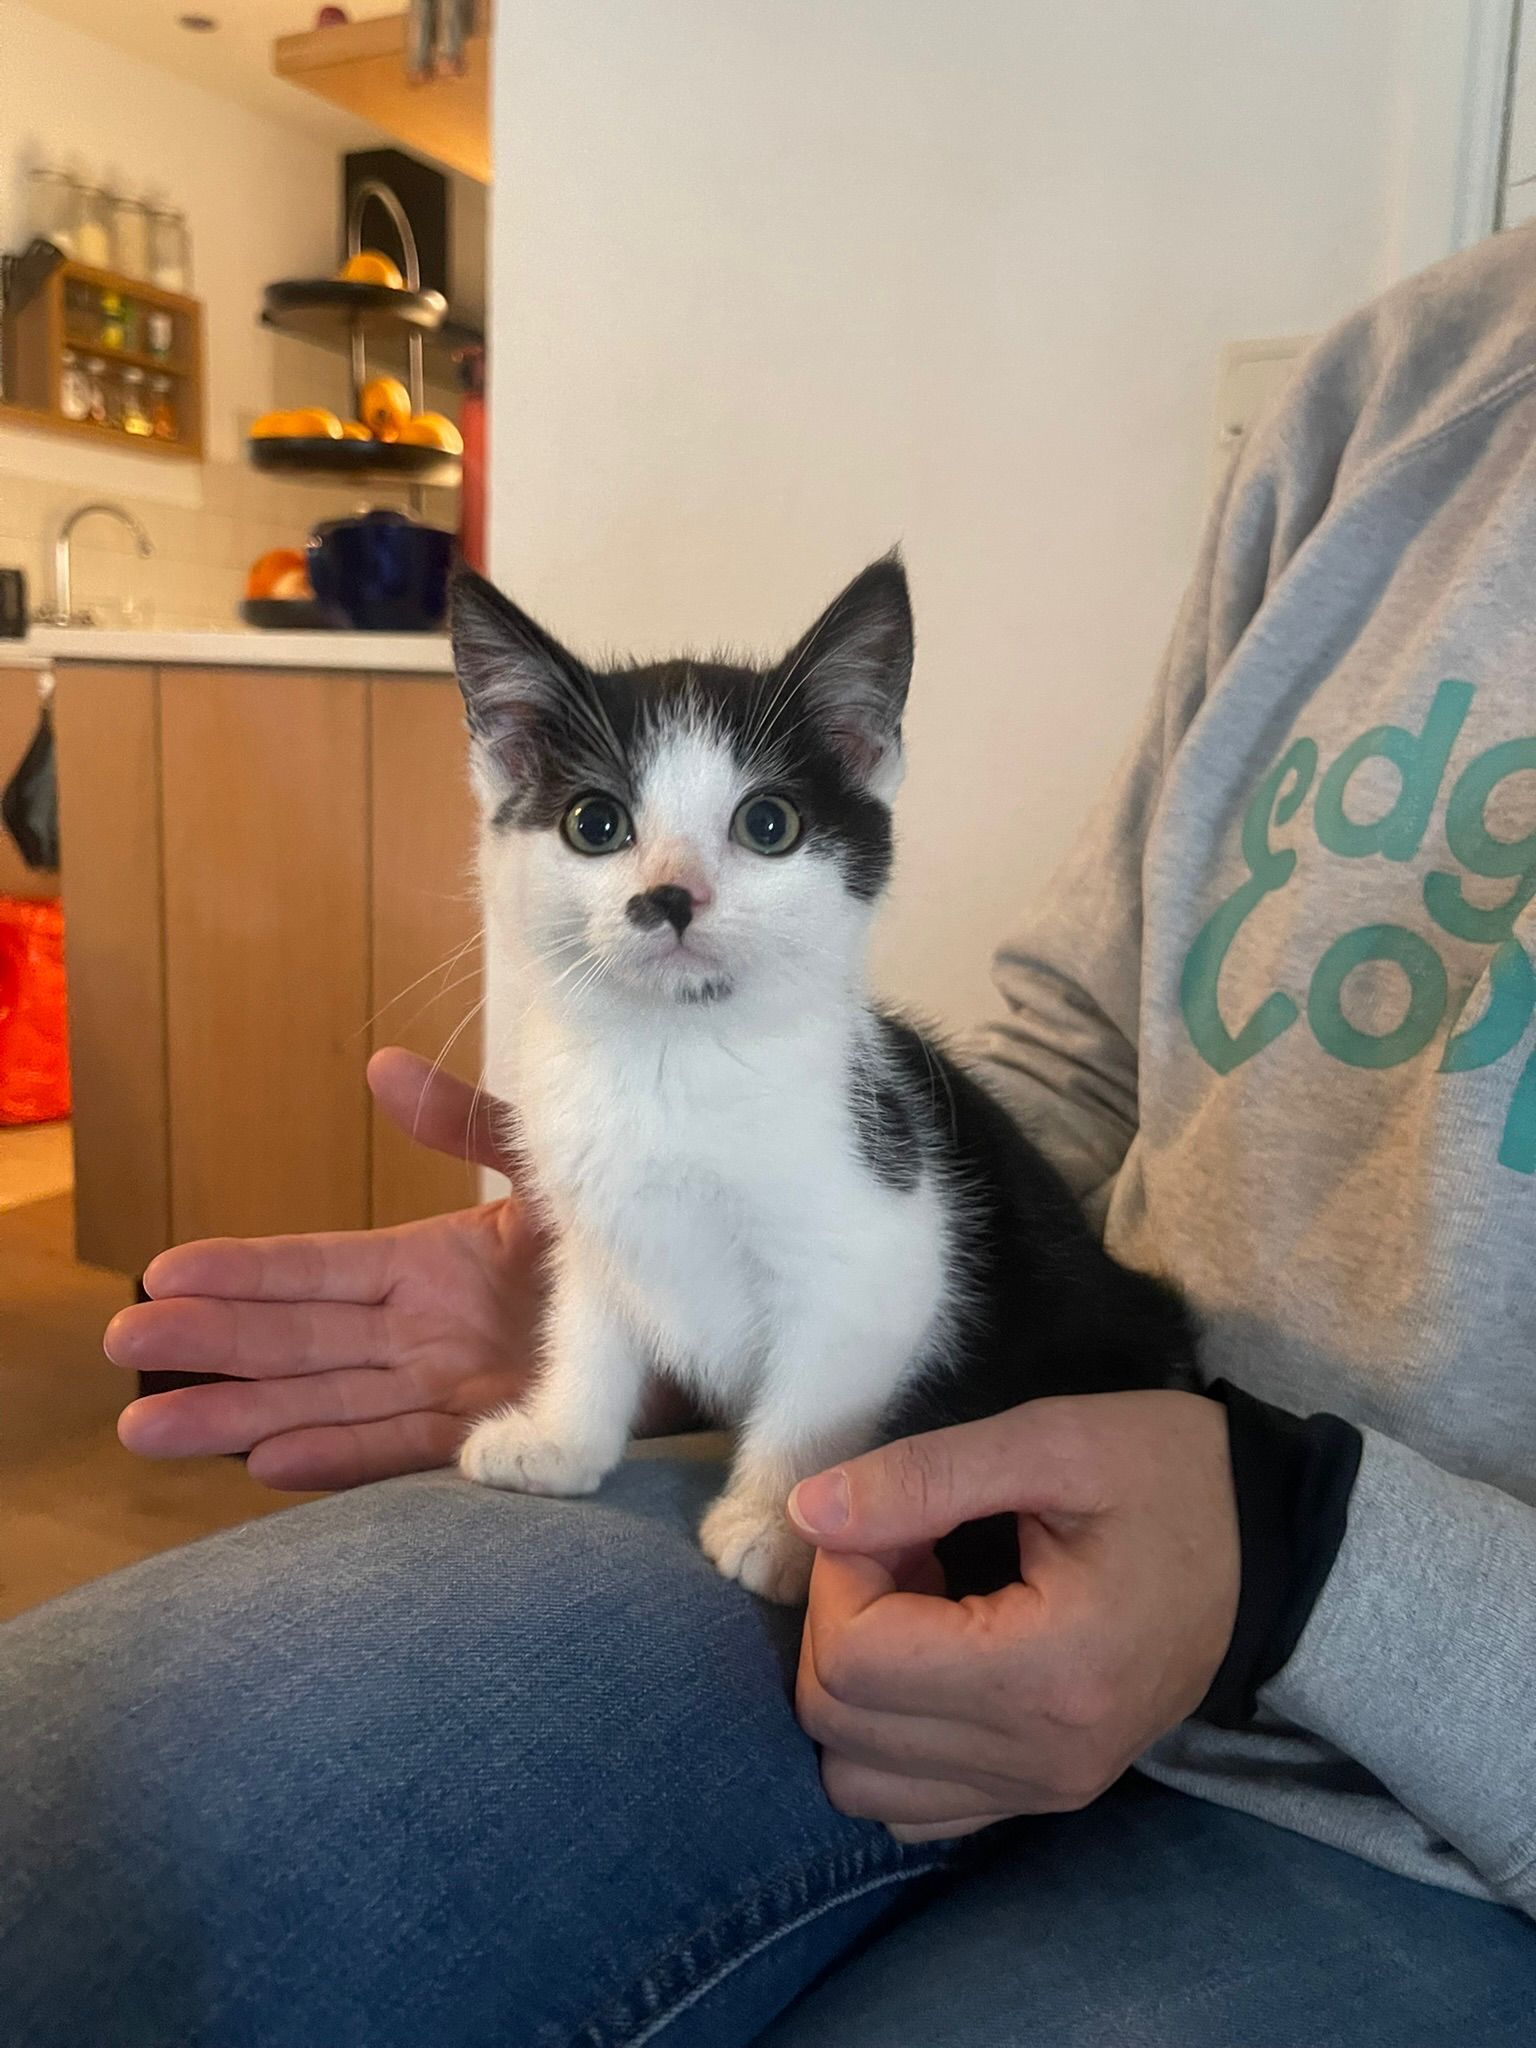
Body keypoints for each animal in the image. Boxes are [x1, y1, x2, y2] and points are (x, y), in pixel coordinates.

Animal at [450, 554, 1195, 1603]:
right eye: (595, 824)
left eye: (769, 823)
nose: (671, 896)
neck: (674, 1059)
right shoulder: (593, 1217)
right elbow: (590, 1321)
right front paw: (563, 1440)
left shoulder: (881, 1249)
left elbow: (816, 1396)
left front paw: (784, 1525)